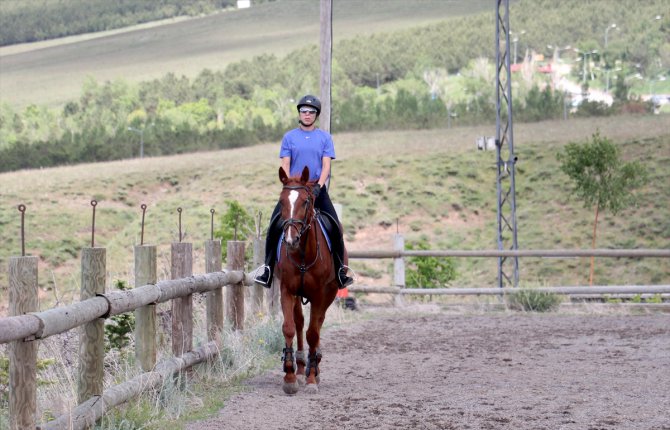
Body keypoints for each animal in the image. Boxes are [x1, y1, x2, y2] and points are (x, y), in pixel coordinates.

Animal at [276, 166, 344, 394]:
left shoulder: (320, 294)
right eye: (282, 201)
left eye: (305, 201)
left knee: (318, 324)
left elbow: (313, 333)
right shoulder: (287, 290)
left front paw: (312, 379)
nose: (291, 239)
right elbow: (289, 327)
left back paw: (315, 365)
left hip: (328, 294)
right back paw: (300, 367)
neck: (303, 254)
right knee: (299, 322)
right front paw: (289, 377)